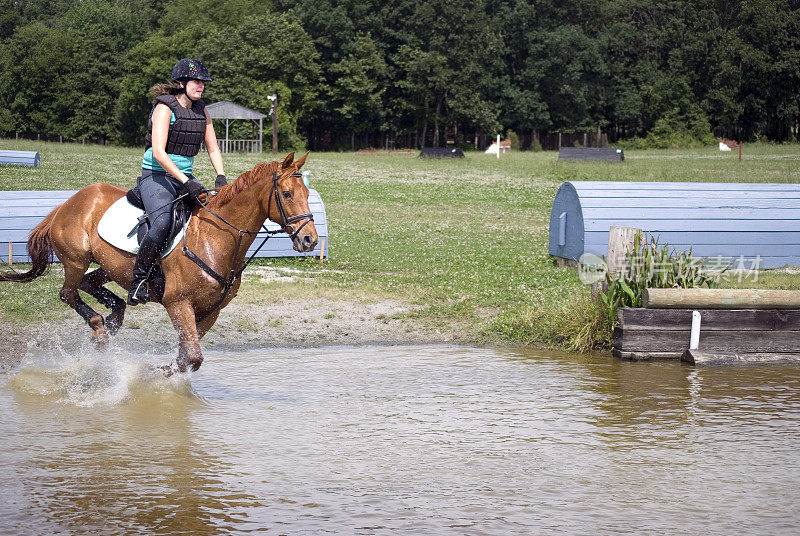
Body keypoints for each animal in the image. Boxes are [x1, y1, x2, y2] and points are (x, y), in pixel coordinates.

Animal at [0, 152, 318, 372]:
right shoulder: (178, 303)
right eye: (287, 194)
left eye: (306, 193)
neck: (215, 238)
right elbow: (192, 356)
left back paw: (113, 319)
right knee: (68, 292)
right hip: (76, 259)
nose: (310, 240)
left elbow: (187, 355)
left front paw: (165, 371)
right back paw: (100, 326)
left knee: (92, 284)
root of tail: (67, 203)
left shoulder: (210, 311)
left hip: (112, 266)